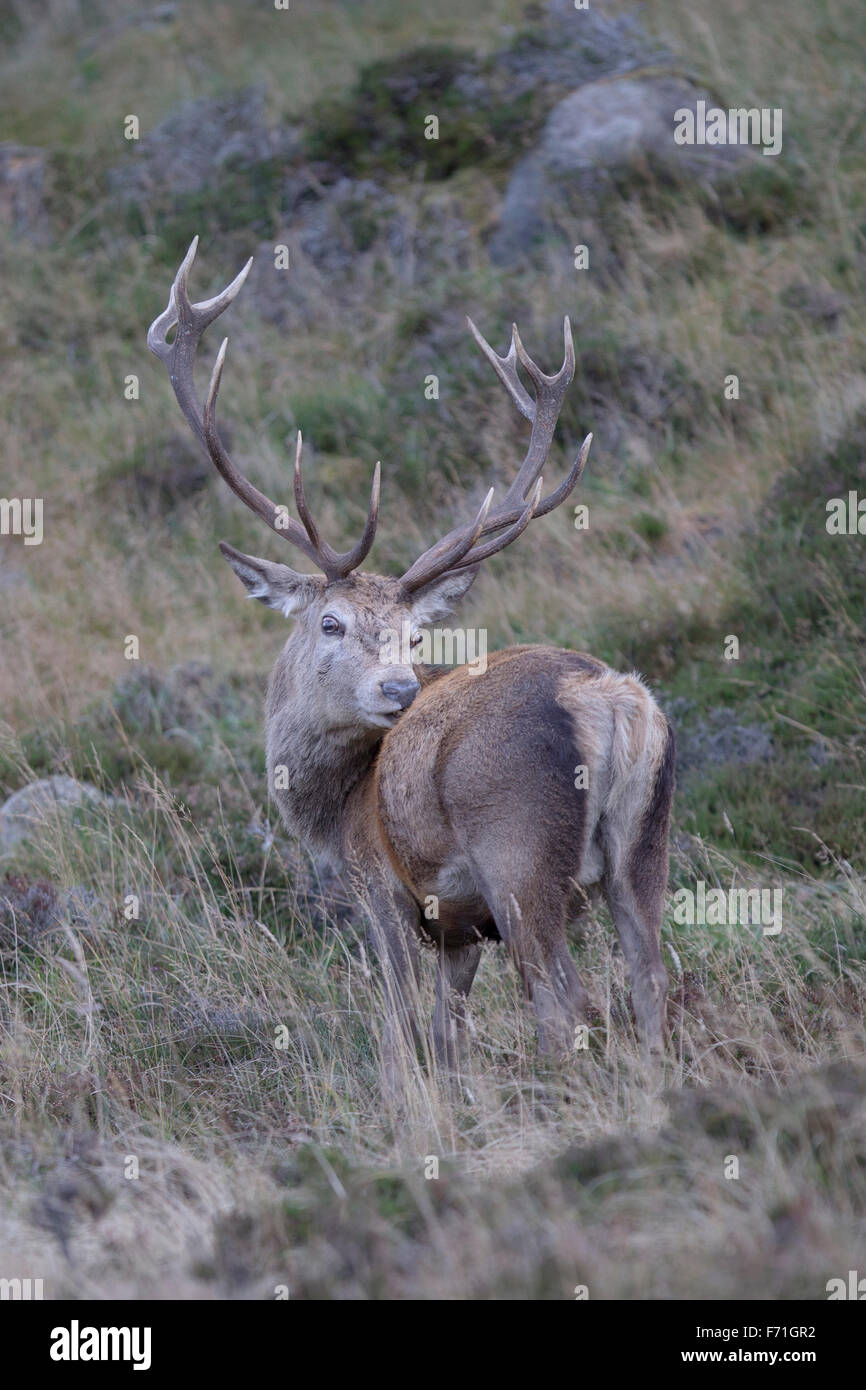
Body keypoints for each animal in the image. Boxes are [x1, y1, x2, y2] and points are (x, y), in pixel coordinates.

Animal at [147, 238, 675, 1089]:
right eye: (331, 622)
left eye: (415, 638)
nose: (398, 688)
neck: (334, 809)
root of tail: (613, 703)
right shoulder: (460, 928)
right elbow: (447, 1033)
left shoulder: (380, 891)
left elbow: (401, 1033)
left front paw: (409, 1105)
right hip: (644, 845)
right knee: (653, 984)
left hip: (520, 853)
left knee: (571, 1007)